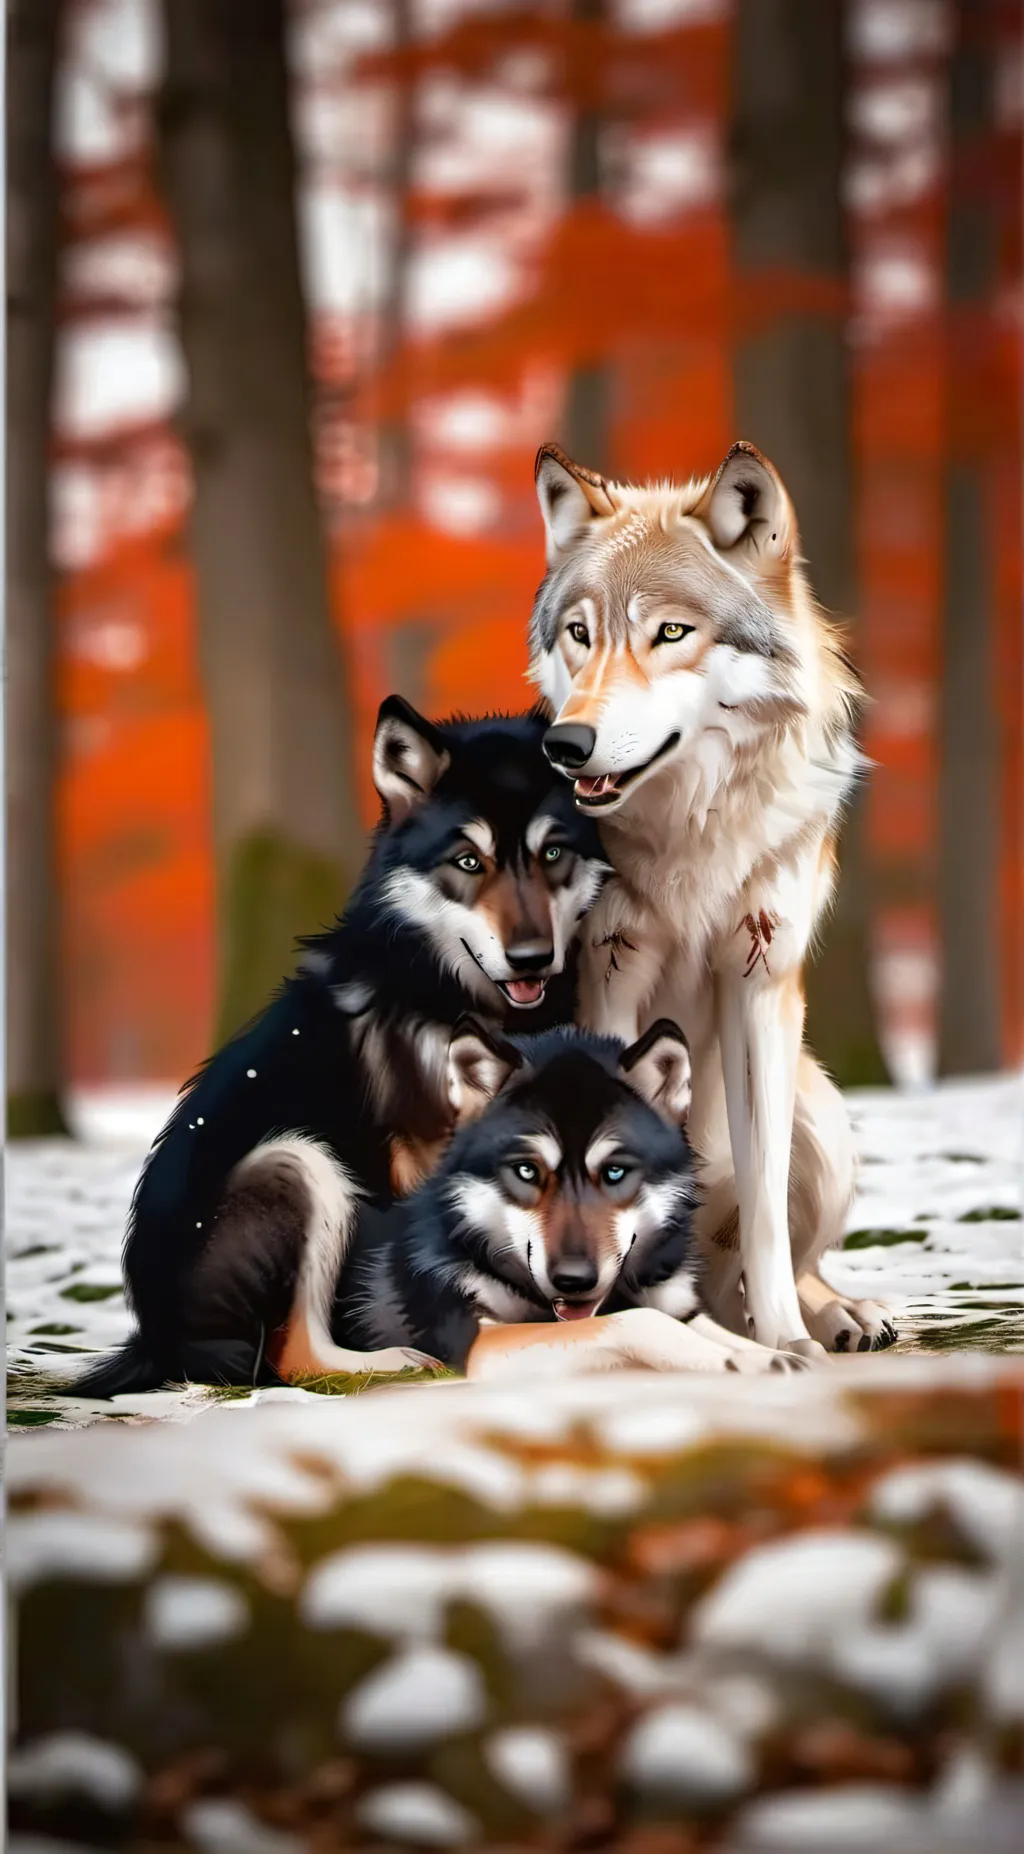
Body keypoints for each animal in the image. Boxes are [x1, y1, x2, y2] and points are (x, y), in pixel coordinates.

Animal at [75, 697, 607, 1397]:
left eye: (553, 853)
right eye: (468, 862)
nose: (532, 958)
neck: (444, 989)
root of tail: (155, 1342)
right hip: (300, 1162)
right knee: (292, 1357)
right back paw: (397, 1359)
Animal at [131, 1017, 803, 1386]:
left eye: (615, 1172)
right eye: (527, 1171)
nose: (575, 1279)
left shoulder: (675, 1305)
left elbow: (692, 1324)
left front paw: (769, 1356)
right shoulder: (483, 1343)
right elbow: (638, 1322)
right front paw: (731, 1363)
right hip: (301, 1159)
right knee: (291, 1354)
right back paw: (401, 1362)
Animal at [528, 440, 896, 1359]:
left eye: (669, 631)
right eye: (581, 633)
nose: (567, 743)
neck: (690, 836)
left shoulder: (760, 981)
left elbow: (765, 1212)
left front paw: (790, 1340)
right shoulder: (611, 974)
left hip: (823, 1117)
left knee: (766, 1262)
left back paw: (834, 1316)